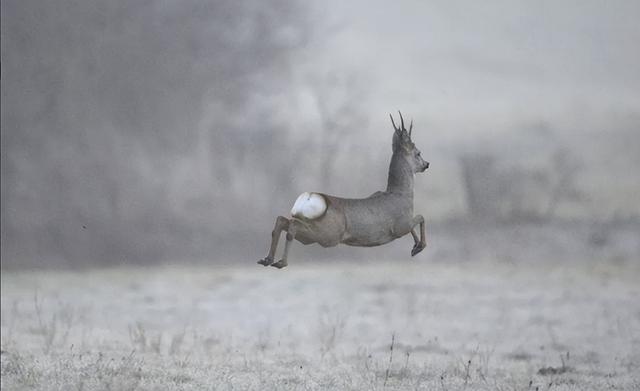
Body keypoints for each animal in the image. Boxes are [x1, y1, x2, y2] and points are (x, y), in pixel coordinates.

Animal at [256, 112, 430, 268]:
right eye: (418, 153)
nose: (426, 164)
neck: (402, 194)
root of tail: (310, 197)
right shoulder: (400, 225)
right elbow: (421, 217)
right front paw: (420, 246)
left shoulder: (405, 223)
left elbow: (416, 223)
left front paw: (415, 247)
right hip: (328, 234)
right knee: (292, 227)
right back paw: (280, 262)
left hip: (312, 231)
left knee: (283, 220)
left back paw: (267, 259)